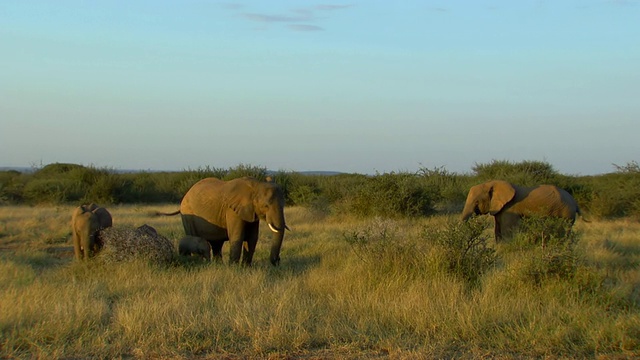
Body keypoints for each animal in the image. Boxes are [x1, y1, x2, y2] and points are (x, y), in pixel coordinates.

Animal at [158, 176, 290, 266]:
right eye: (266, 206)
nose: (278, 260)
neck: (256, 185)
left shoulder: (251, 212)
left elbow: (252, 238)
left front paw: (246, 267)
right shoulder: (232, 210)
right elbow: (238, 236)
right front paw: (235, 268)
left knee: (217, 244)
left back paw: (218, 265)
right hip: (188, 216)